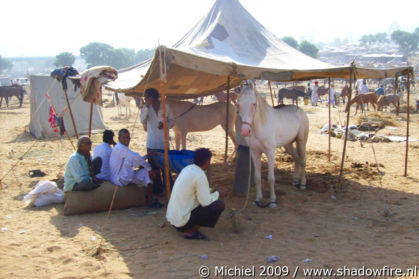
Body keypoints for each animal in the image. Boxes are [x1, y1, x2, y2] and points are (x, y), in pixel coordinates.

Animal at [238, 80, 310, 208]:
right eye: (238, 104)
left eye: (253, 104)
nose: (245, 131)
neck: (261, 125)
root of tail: (300, 110)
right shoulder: (255, 152)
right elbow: (257, 178)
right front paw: (258, 199)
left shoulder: (270, 152)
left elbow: (271, 178)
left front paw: (272, 200)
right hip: (288, 145)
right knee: (297, 158)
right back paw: (295, 180)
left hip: (301, 142)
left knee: (303, 160)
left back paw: (302, 184)